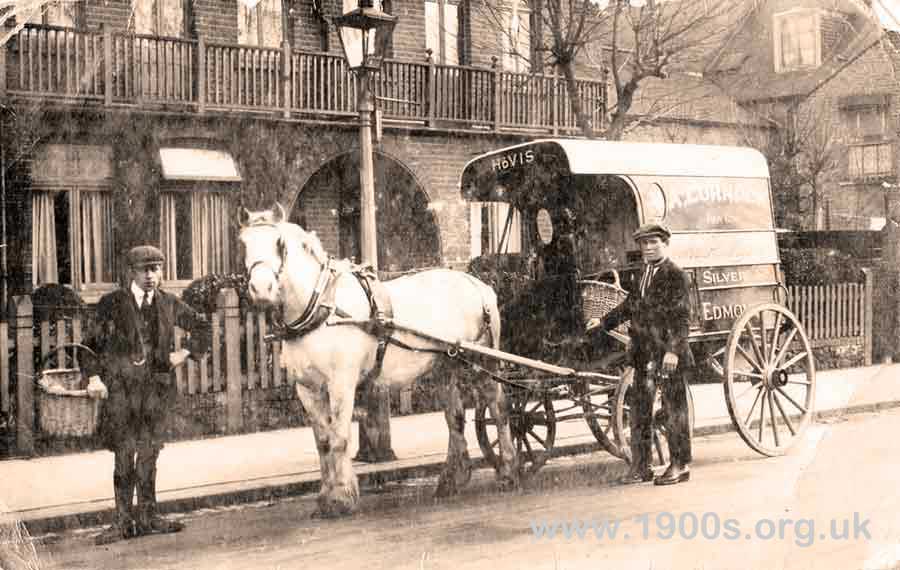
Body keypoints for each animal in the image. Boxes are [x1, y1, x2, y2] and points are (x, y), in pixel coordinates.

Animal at [239, 204, 520, 516]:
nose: (261, 289)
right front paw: (325, 496)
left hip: (482, 363)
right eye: (243, 243)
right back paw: (451, 480)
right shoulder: (307, 388)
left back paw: (508, 471)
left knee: (498, 408)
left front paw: (341, 498)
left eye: (280, 243)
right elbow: (323, 441)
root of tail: (476, 283)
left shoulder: (342, 383)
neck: (323, 307)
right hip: (444, 366)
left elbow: (339, 438)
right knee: (455, 418)